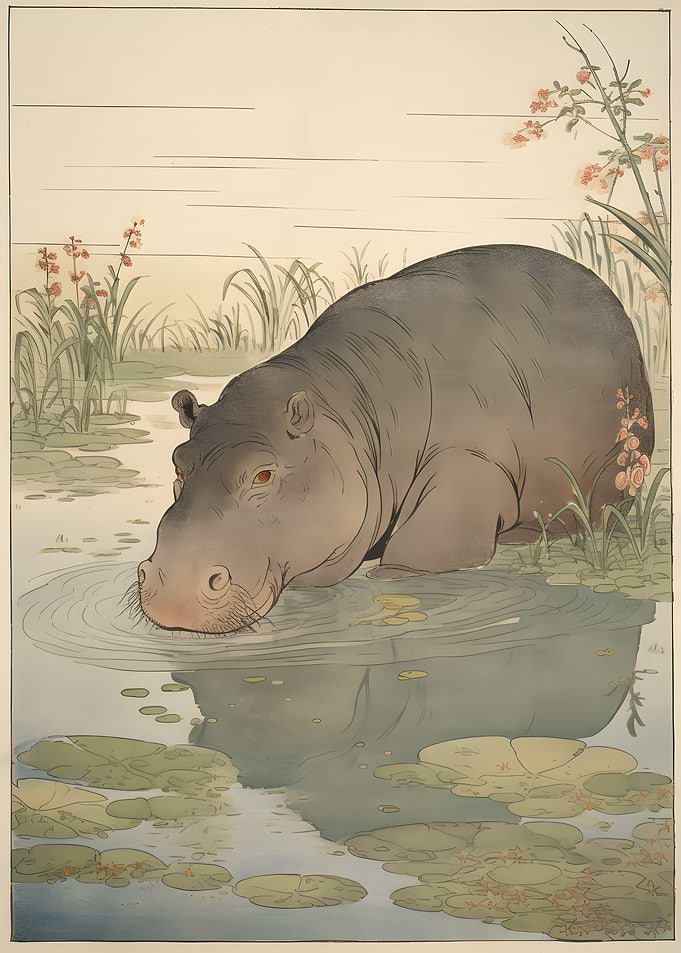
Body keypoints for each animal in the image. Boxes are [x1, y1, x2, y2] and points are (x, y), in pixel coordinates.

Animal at [138, 244, 654, 633]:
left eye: (264, 473)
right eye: (178, 462)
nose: (172, 583)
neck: (350, 409)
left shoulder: (465, 472)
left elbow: (414, 558)